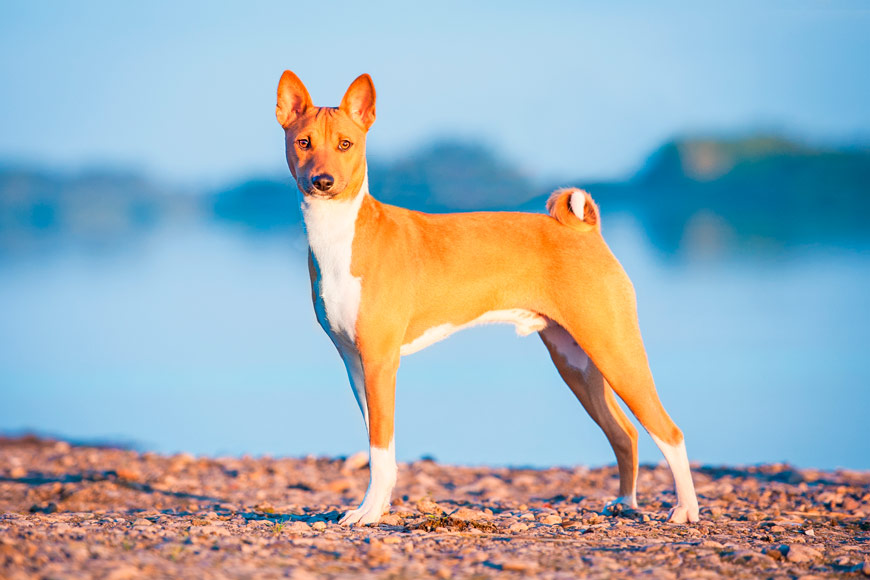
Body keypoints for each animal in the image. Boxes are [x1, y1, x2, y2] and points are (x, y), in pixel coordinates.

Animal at [276, 70, 700, 524]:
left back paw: (685, 510)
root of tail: (585, 232)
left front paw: (369, 512)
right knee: (626, 432)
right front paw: (376, 507)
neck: (342, 235)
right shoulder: (355, 363)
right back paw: (625, 502)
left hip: (614, 349)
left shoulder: (380, 361)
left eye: (345, 144)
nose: (323, 182)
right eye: (304, 142)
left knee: (669, 431)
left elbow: (381, 449)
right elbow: (377, 448)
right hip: (577, 362)